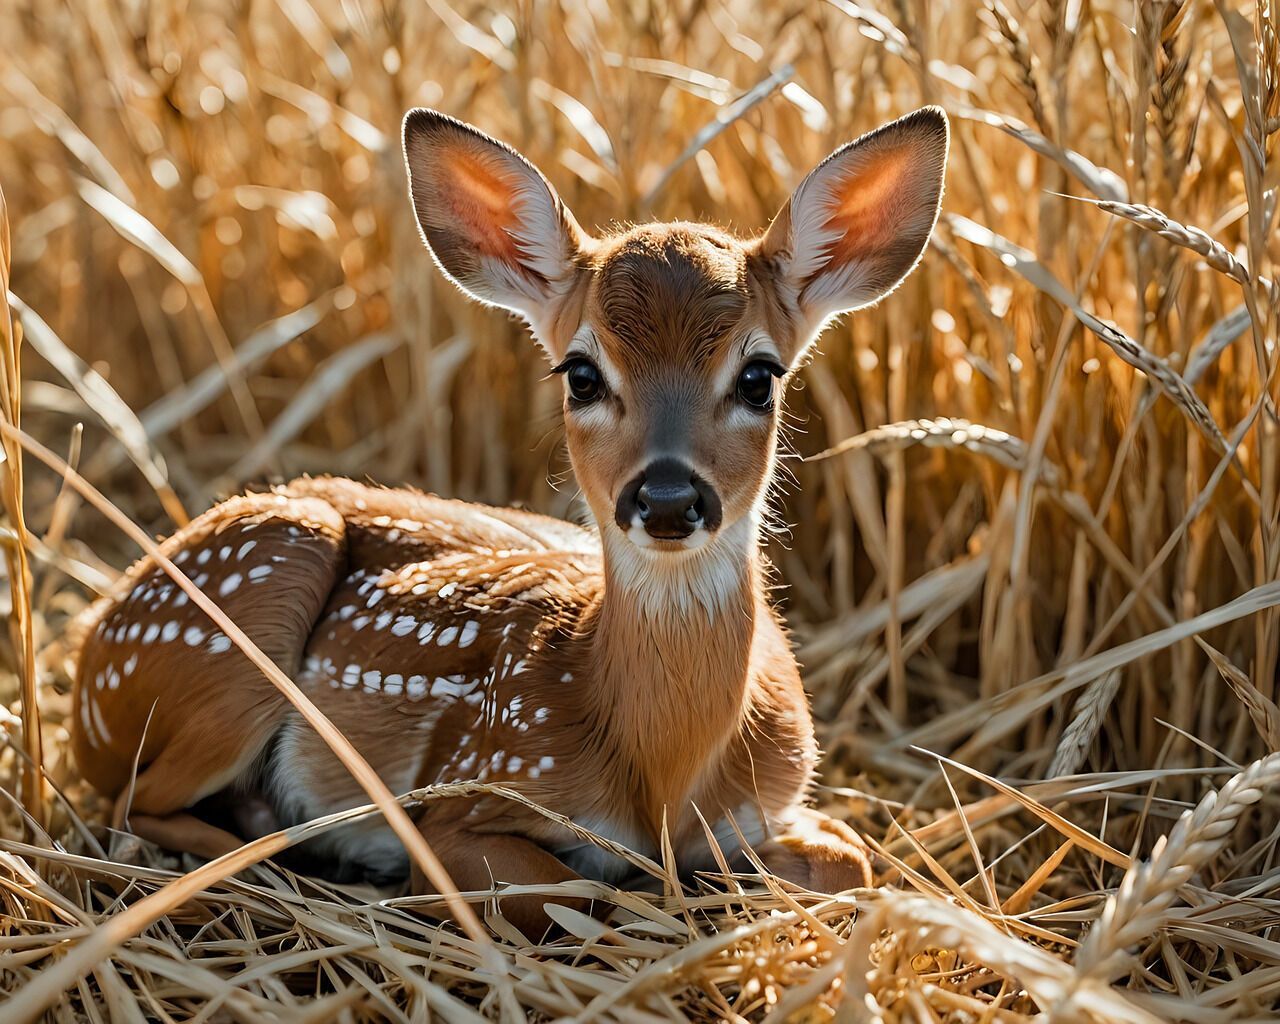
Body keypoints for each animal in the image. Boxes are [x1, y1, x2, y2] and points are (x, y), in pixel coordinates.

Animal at [70, 106, 952, 936]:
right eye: (582, 374)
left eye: (760, 375)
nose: (668, 499)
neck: (662, 778)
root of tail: (86, 653)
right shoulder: (474, 787)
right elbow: (580, 890)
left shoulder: (777, 794)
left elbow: (851, 858)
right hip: (248, 602)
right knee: (132, 805)